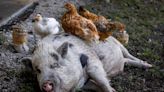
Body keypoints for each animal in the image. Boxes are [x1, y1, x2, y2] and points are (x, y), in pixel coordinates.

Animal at [21, 32, 151, 91]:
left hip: (118, 43)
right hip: (122, 58)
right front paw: (113, 89)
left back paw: (149, 65)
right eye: (38, 70)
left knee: (129, 55)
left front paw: (112, 90)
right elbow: (98, 86)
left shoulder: (93, 63)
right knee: (127, 60)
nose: (46, 84)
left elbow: (102, 81)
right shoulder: (86, 83)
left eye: (55, 65)